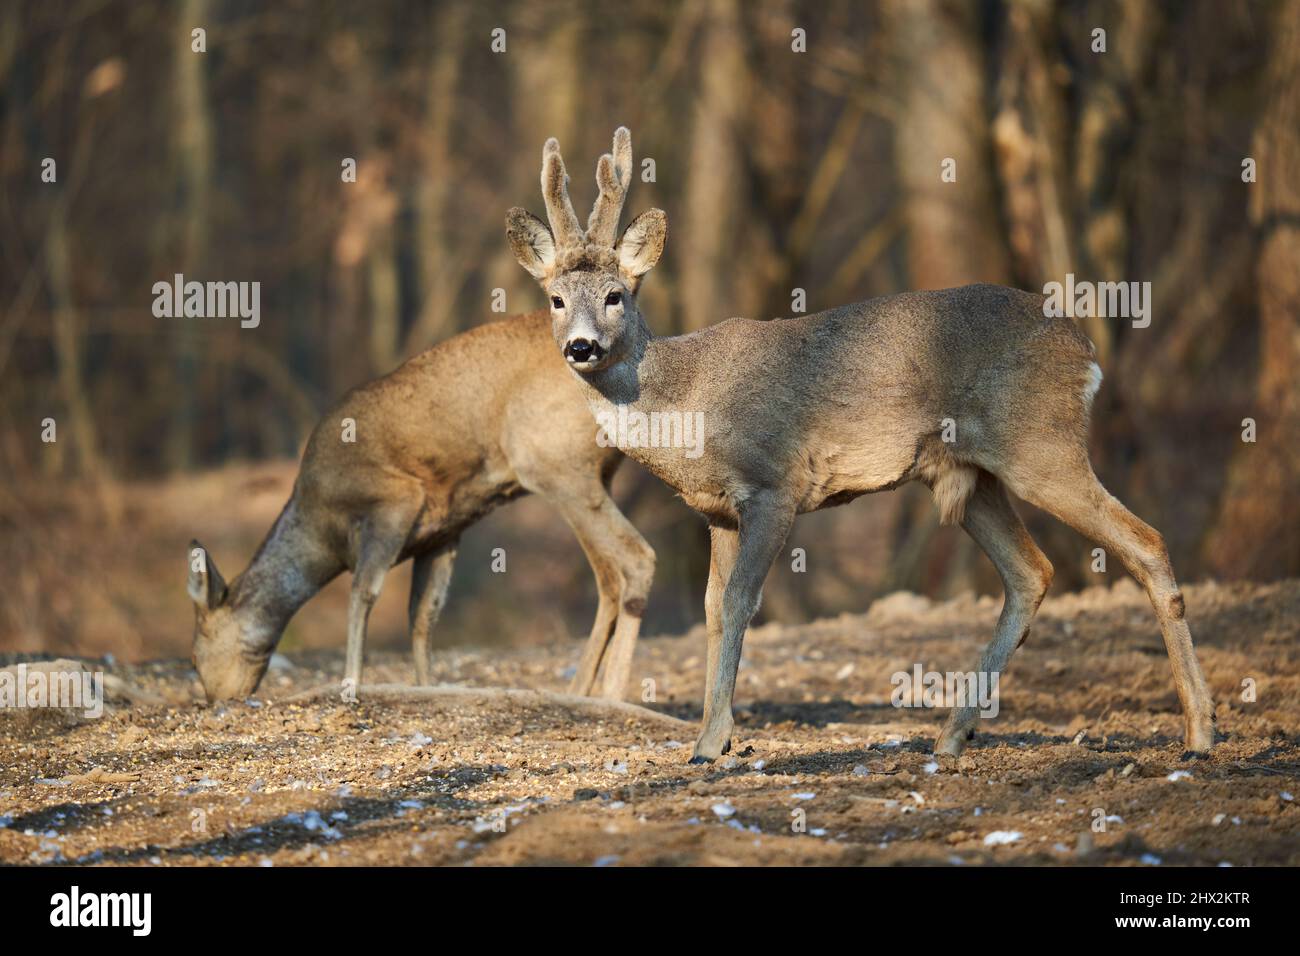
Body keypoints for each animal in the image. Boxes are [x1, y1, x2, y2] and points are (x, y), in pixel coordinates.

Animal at [185, 313, 654, 704]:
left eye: (192, 657)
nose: (214, 701)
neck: (322, 528)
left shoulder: (395, 499)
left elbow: (363, 594)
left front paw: (352, 684)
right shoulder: (444, 530)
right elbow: (423, 615)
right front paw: (427, 685)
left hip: (555, 466)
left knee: (637, 557)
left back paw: (612, 695)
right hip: (594, 476)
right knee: (608, 576)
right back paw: (581, 691)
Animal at [504, 127, 1217, 763]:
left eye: (615, 295)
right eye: (556, 299)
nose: (582, 347)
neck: (683, 403)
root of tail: (1086, 353)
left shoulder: (775, 485)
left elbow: (738, 602)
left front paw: (711, 745)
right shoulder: (716, 512)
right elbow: (709, 609)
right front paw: (713, 735)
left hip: (1042, 446)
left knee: (1145, 542)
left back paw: (1200, 732)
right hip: (971, 476)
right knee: (1032, 571)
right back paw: (953, 735)